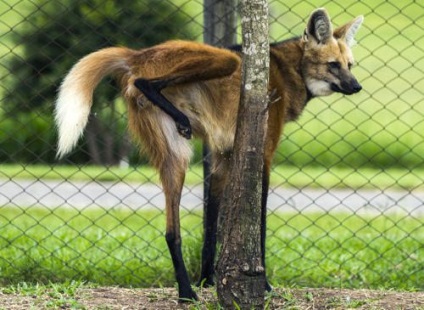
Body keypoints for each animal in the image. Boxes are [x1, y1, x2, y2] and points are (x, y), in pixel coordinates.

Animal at [53, 9, 364, 300]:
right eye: (333, 65)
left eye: (349, 65)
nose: (357, 86)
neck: (286, 71)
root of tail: (135, 54)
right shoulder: (262, 155)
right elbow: (258, 224)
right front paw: (262, 284)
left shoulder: (222, 157)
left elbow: (212, 223)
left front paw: (207, 280)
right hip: (223, 61)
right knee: (146, 81)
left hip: (173, 154)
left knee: (171, 231)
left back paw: (186, 292)